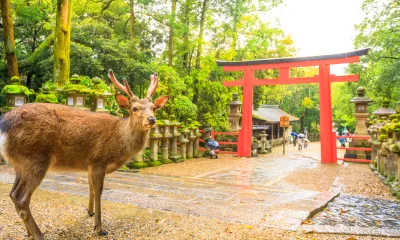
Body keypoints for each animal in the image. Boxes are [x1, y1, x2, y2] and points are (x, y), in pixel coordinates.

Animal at [0, 69, 167, 238]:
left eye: (154, 107)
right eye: (134, 108)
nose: (151, 119)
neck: (120, 141)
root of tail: (4, 124)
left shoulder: (89, 164)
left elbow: (90, 187)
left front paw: (90, 212)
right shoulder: (99, 160)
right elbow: (99, 191)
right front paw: (99, 228)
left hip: (20, 164)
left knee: (13, 194)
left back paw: (29, 233)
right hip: (35, 158)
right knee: (21, 198)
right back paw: (39, 234)